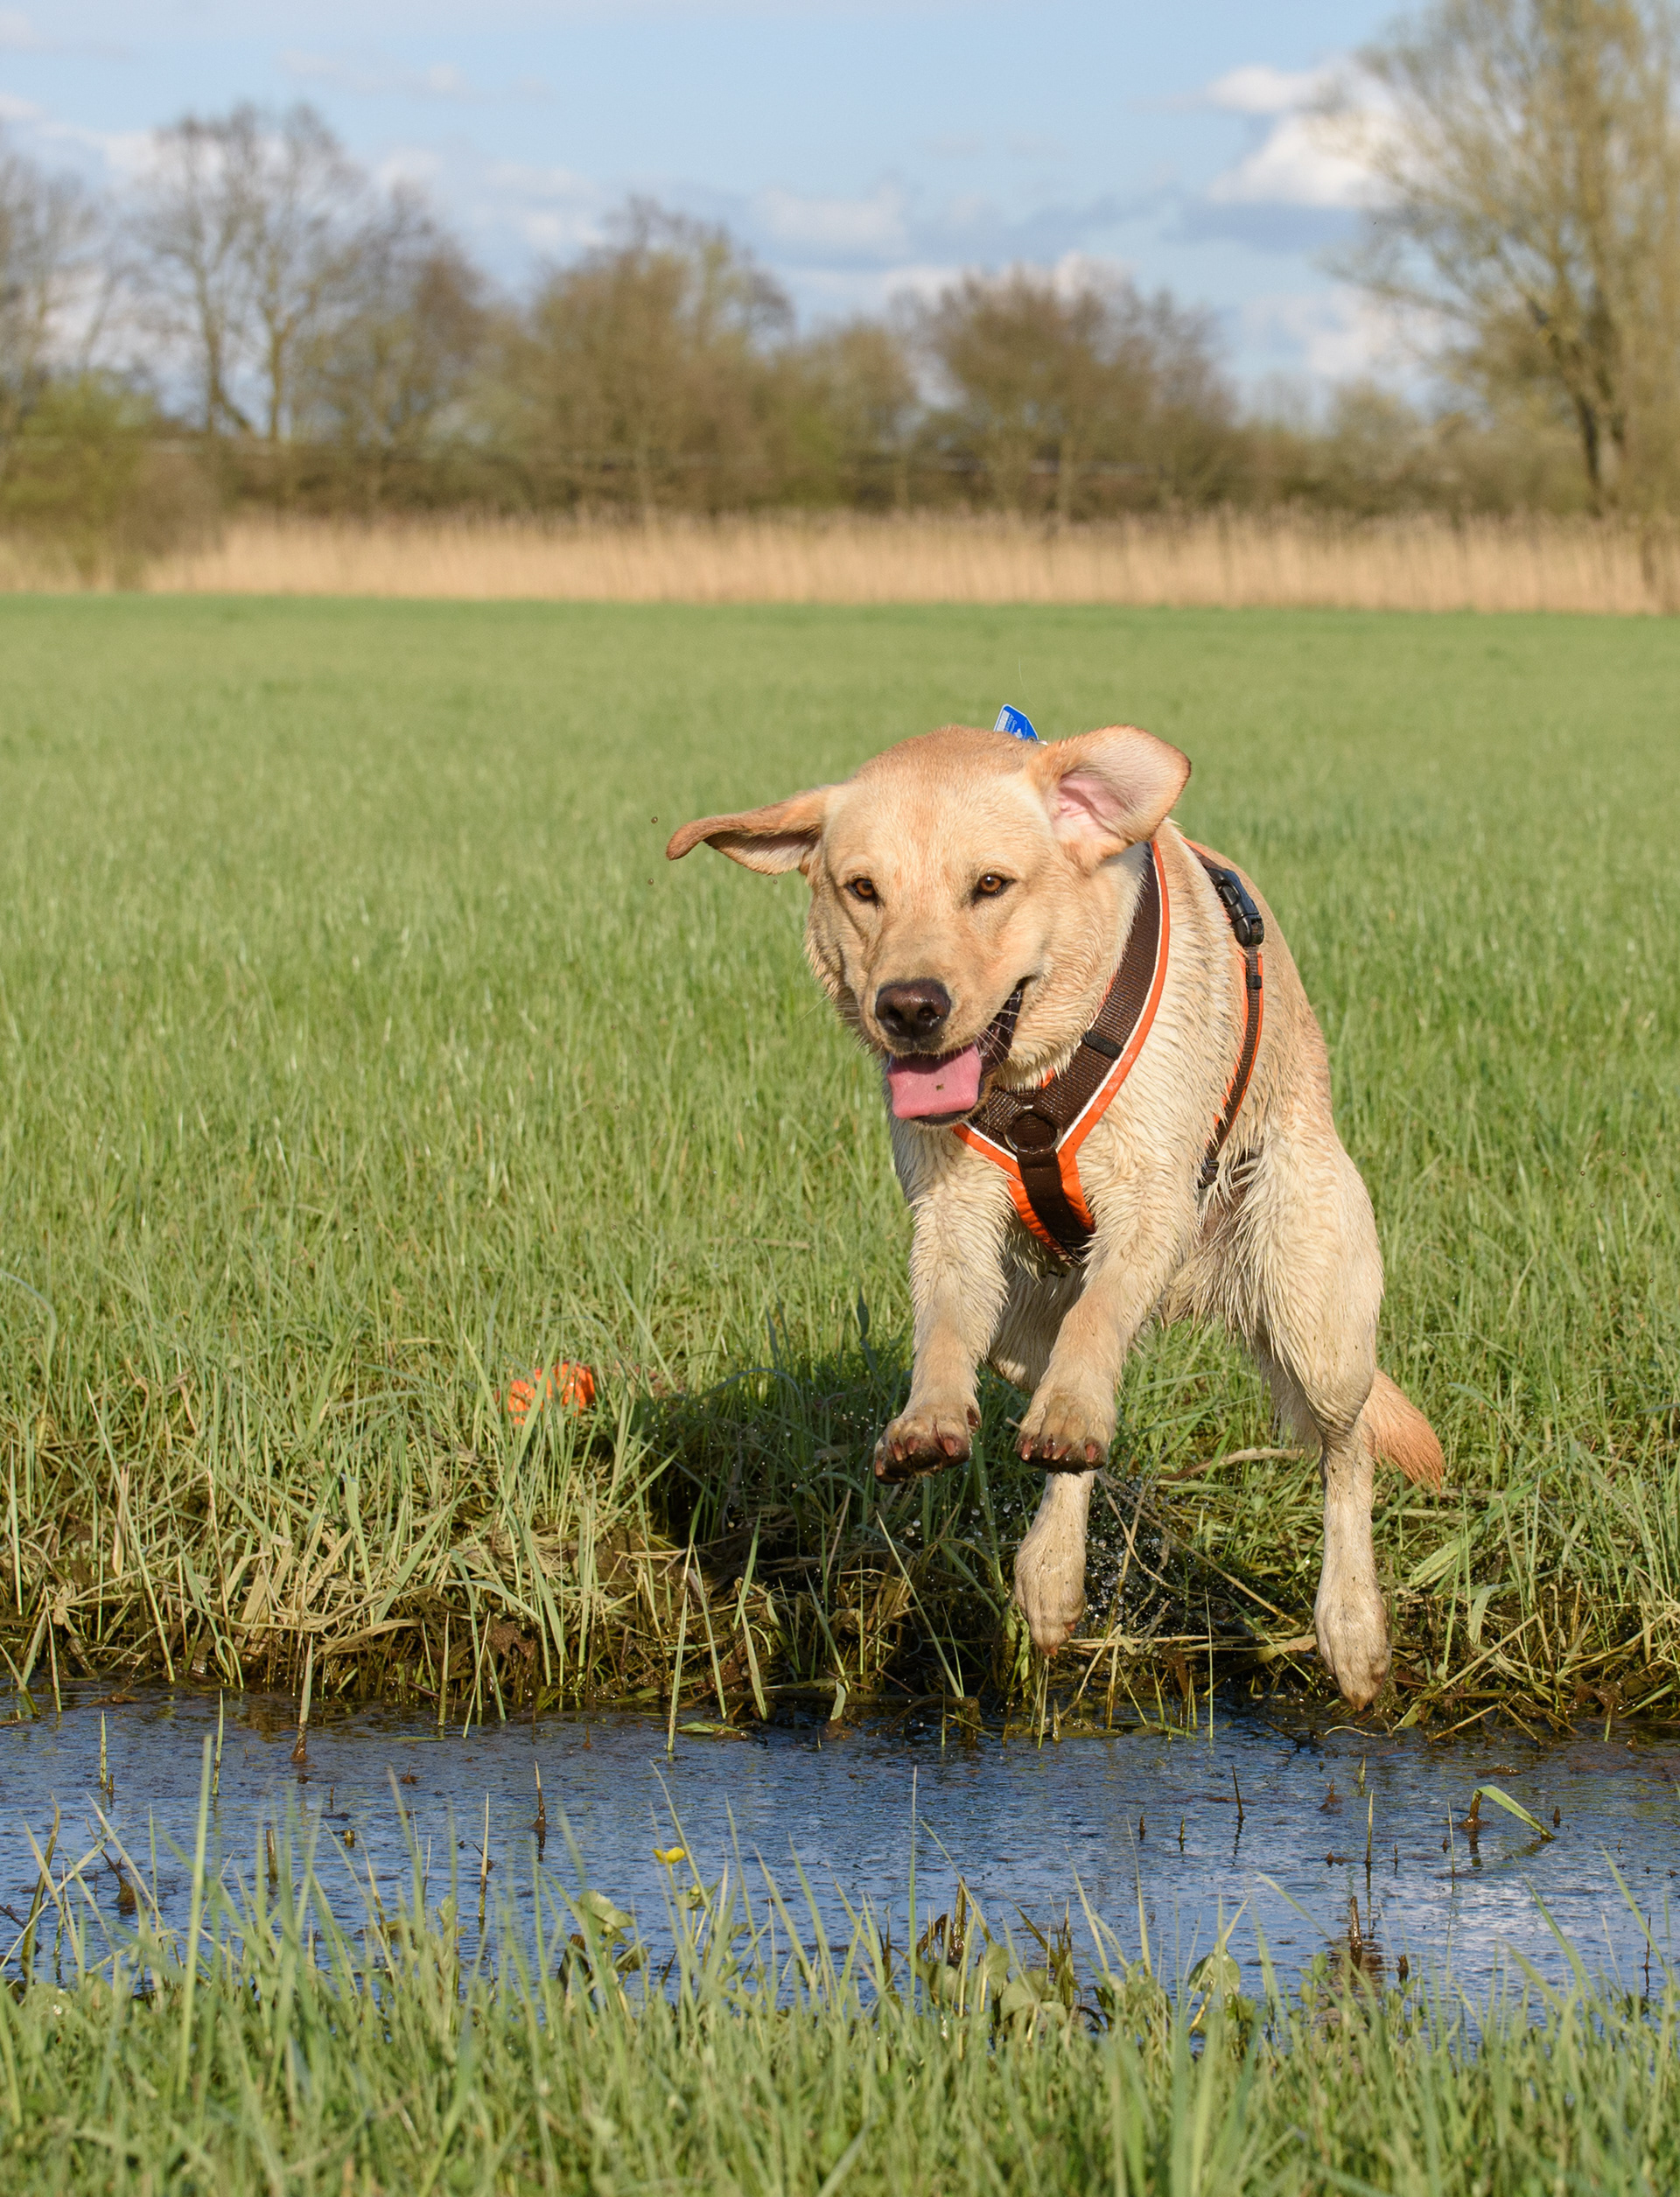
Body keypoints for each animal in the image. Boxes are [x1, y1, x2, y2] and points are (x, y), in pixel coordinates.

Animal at [667, 721, 1442, 1708]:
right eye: (863, 889)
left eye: (990, 885)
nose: (909, 1007)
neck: (1033, 1077)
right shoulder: (950, 1214)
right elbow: (944, 1329)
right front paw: (928, 1419)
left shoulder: (1151, 1201)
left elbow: (1101, 1321)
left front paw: (1070, 1411)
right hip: (1019, 1325)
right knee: (1064, 1426)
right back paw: (1052, 1574)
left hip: (1315, 1313)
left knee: (1346, 1453)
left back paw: (1349, 1624)